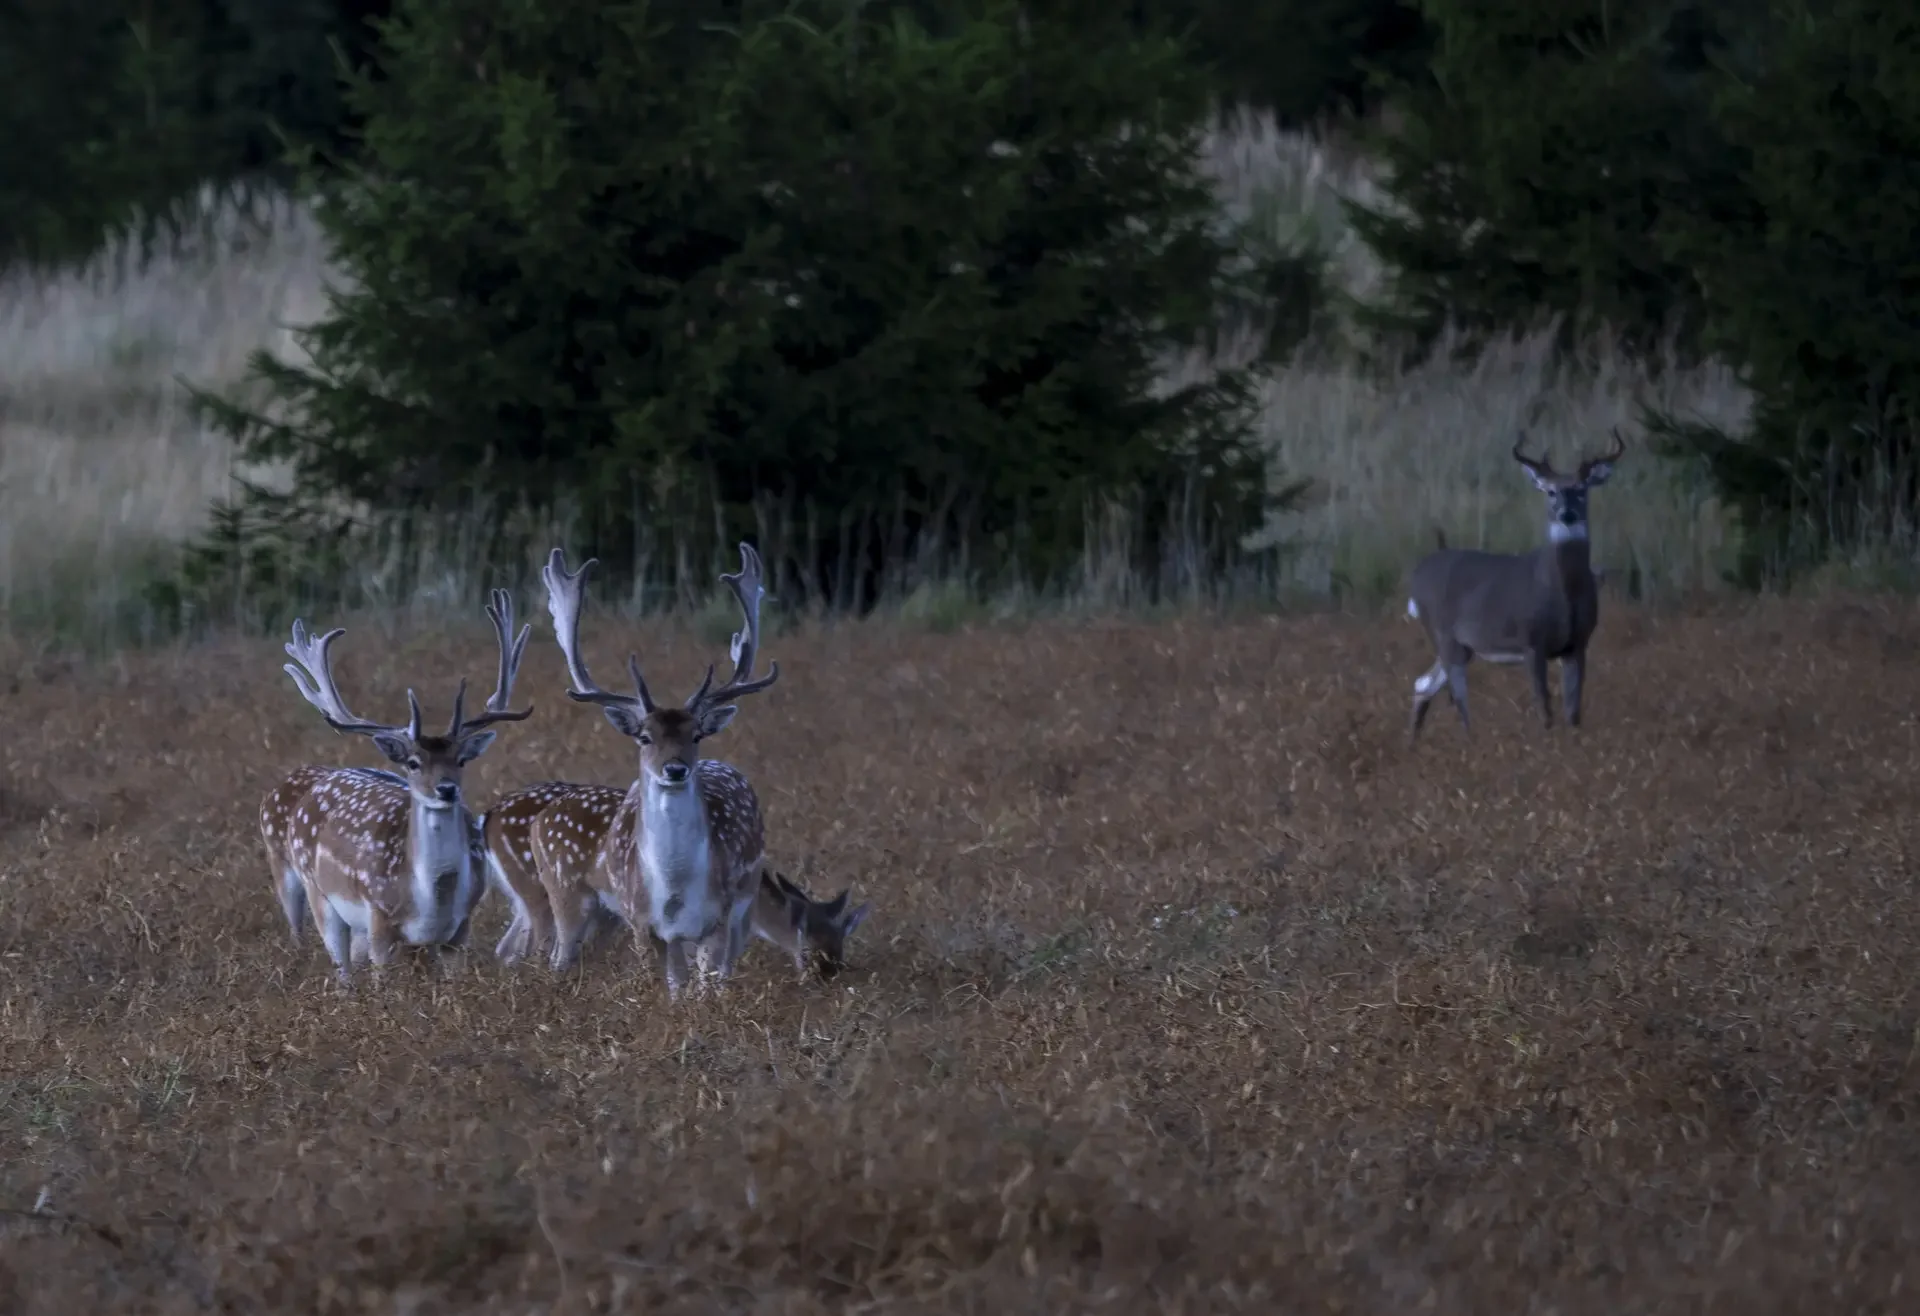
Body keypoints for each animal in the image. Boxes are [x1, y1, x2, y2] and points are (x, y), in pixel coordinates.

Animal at [259, 590, 533, 983]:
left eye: (461, 760)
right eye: (413, 763)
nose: (446, 790)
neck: (432, 898)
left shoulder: (459, 930)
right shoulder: (379, 920)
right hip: (314, 891)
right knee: (335, 964)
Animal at [482, 543, 784, 1000]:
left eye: (696, 734)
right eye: (644, 736)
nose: (675, 769)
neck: (675, 892)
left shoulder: (718, 918)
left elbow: (705, 988)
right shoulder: (644, 926)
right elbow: (668, 990)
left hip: (740, 903)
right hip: (564, 895)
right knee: (549, 955)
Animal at [1404, 429, 1625, 742]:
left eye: (1582, 489)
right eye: (1550, 491)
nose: (1566, 513)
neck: (1561, 593)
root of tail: (1417, 574)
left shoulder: (1577, 644)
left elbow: (1573, 711)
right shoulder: (1531, 641)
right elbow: (1543, 706)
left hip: (1464, 645)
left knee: (1423, 683)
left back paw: (1414, 742)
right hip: (1443, 634)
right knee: (1457, 696)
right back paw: (1468, 742)